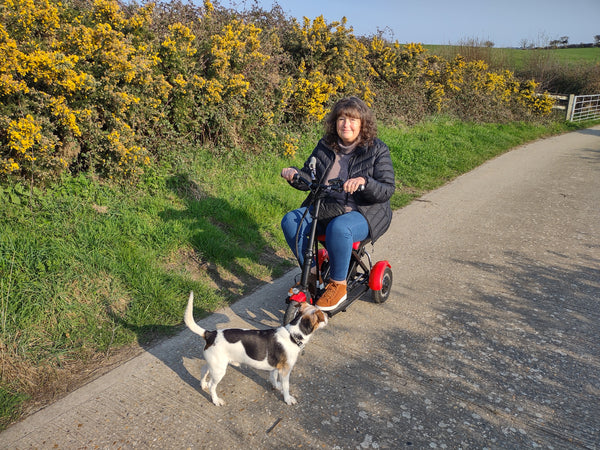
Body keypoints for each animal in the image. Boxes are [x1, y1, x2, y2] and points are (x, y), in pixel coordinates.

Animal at [184, 292, 328, 404]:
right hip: (219, 370)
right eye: (321, 314)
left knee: (203, 370)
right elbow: (286, 386)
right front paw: (287, 399)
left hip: (214, 364)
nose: (327, 315)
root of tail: (210, 334)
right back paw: (216, 400)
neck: (293, 334)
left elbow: (273, 378)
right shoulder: (285, 370)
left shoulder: (275, 367)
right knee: (212, 386)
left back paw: (202, 384)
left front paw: (276, 386)